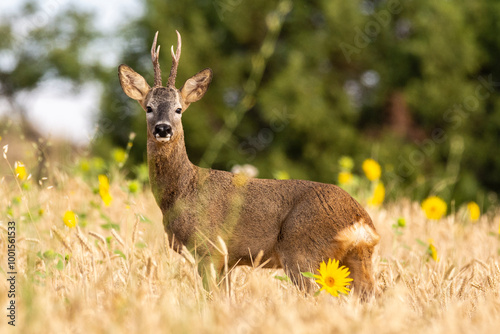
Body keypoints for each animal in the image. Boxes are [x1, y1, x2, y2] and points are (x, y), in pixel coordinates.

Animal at [119, 30, 380, 298]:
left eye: (179, 109)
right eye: (149, 107)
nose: (163, 129)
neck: (182, 191)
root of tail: (361, 222)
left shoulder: (209, 247)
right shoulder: (227, 260)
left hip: (302, 252)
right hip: (357, 258)